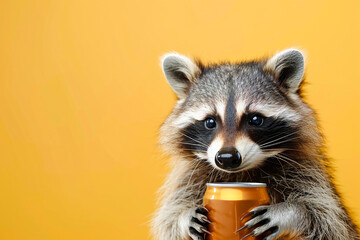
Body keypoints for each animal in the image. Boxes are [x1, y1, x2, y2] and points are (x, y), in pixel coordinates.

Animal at [151, 49, 360, 240]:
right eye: (210, 122)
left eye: (255, 119)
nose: (227, 158)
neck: (239, 176)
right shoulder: (190, 178)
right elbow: (169, 219)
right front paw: (182, 219)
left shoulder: (307, 175)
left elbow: (328, 221)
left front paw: (291, 213)